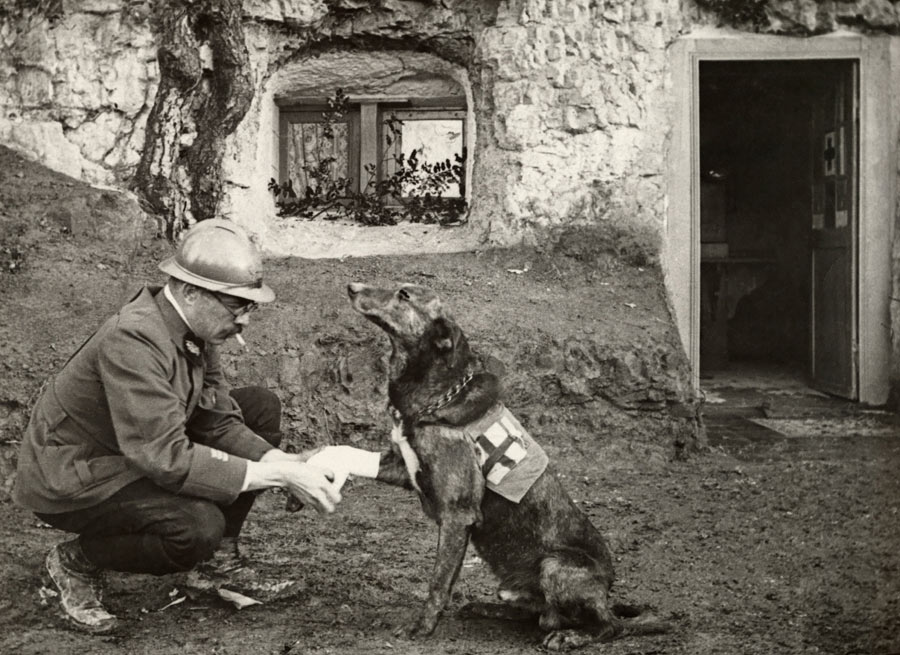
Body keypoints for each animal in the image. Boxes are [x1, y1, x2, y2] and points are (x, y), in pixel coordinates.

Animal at [348, 282, 672, 652]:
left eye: (404, 295)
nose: (352, 287)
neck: (436, 395)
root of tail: (607, 591)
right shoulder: (405, 469)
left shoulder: (458, 514)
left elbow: (438, 582)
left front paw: (422, 627)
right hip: (517, 586)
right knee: (537, 614)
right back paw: (487, 608)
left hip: (556, 566)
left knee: (607, 627)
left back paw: (570, 635)